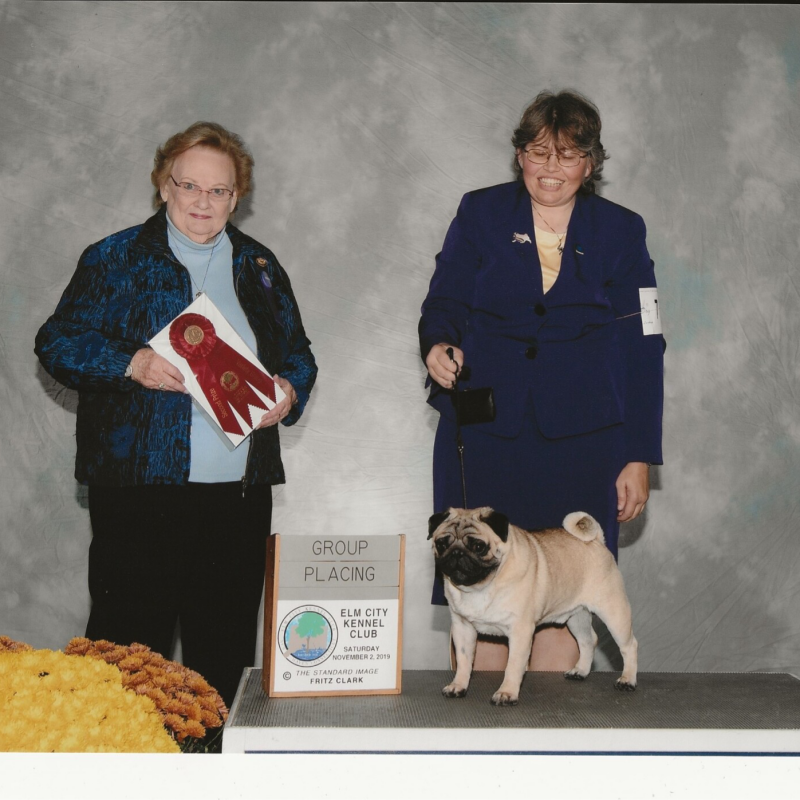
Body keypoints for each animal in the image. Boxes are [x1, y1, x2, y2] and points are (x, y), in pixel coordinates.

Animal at [429, 507, 638, 705]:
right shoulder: (463, 628)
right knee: (588, 641)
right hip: (577, 617)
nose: (456, 553)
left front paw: (506, 693)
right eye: (441, 544)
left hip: (614, 612)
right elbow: (464, 662)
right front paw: (458, 686)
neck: (480, 587)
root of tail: (596, 541)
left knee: (629, 646)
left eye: (478, 546)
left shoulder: (520, 631)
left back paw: (627, 680)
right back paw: (580, 671)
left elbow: (513, 665)